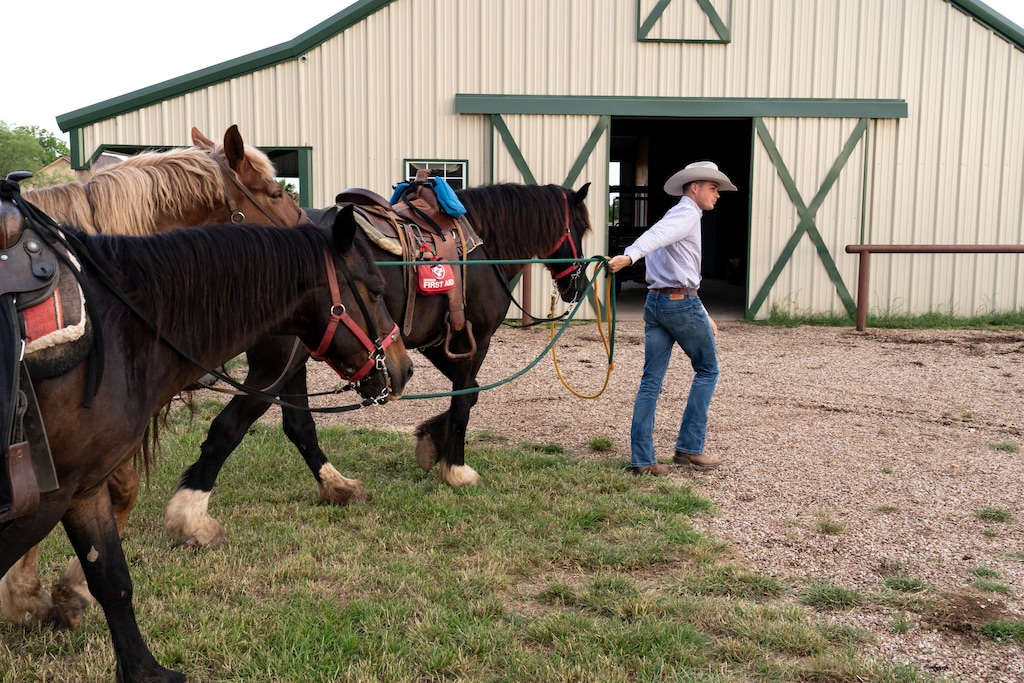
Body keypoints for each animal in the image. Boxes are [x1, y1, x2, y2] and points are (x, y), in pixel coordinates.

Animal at [0, 190, 413, 683]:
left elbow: (113, 579)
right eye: (376, 289)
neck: (120, 327)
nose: (405, 368)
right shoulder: (46, 499)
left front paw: (142, 670)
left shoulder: (83, 486)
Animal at [163, 181, 592, 547]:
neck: (485, 247)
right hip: (276, 365)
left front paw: (430, 441)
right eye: (582, 228)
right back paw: (191, 513)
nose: (578, 285)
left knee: (298, 425)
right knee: (229, 427)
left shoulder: (429, 345)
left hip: (293, 361)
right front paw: (455, 468)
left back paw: (337, 486)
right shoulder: (474, 342)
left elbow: (464, 399)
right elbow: (464, 404)